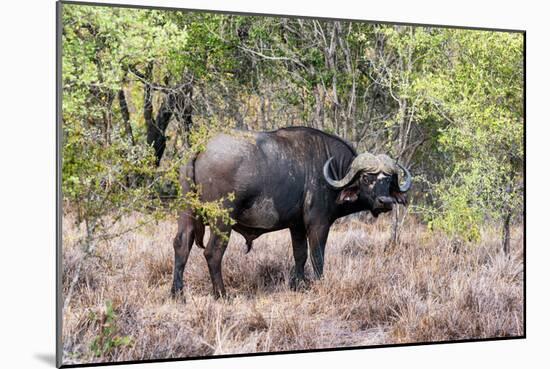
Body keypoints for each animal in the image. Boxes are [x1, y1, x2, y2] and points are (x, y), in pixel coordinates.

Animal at [170, 125, 412, 298]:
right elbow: (317, 256)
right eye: (366, 178)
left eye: (388, 179)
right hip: (222, 219)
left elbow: (300, 254)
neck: (331, 172)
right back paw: (221, 294)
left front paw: (299, 284)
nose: (385, 201)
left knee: (182, 244)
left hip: (186, 213)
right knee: (213, 253)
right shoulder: (318, 223)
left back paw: (177, 293)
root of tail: (201, 148)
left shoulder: (296, 226)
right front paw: (318, 283)